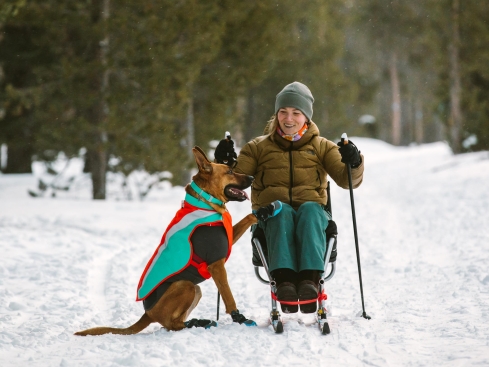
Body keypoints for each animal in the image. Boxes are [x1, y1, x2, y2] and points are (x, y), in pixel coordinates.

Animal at [73, 147, 278, 336]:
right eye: (229, 171)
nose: (252, 177)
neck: (205, 201)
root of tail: (147, 313)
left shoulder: (227, 240)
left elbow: (248, 217)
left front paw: (264, 211)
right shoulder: (216, 265)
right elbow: (229, 297)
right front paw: (240, 318)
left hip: (195, 289)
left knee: (171, 324)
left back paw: (198, 322)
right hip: (186, 285)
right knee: (172, 325)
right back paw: (197, 323)